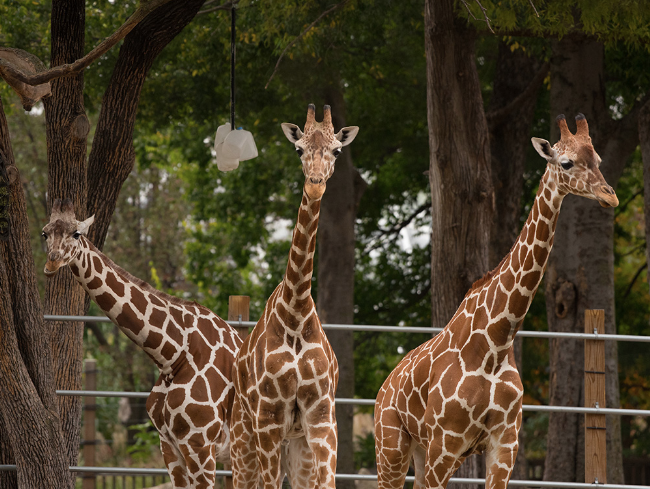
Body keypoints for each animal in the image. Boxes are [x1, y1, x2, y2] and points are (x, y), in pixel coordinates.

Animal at [42, 199, 243, 489]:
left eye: (76, 234)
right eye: (44, 233)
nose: (52, 263)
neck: (173, 356)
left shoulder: (200, 444)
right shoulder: (169, 445)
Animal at [229, 104, 359, 489]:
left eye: (337, 151)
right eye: (299, 149)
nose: (315, 184)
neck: (297, 310)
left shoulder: (322, 418)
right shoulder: (269, 419)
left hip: (296, 447)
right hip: (244, 438)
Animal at [374, 114, 619, 489]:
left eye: (599, 160)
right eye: (566, 162)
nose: (610, 197)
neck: (496, 341)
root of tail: (384, 387)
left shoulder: (504, 445)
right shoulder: (444, 444)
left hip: (419, 451)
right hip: (391, 447)